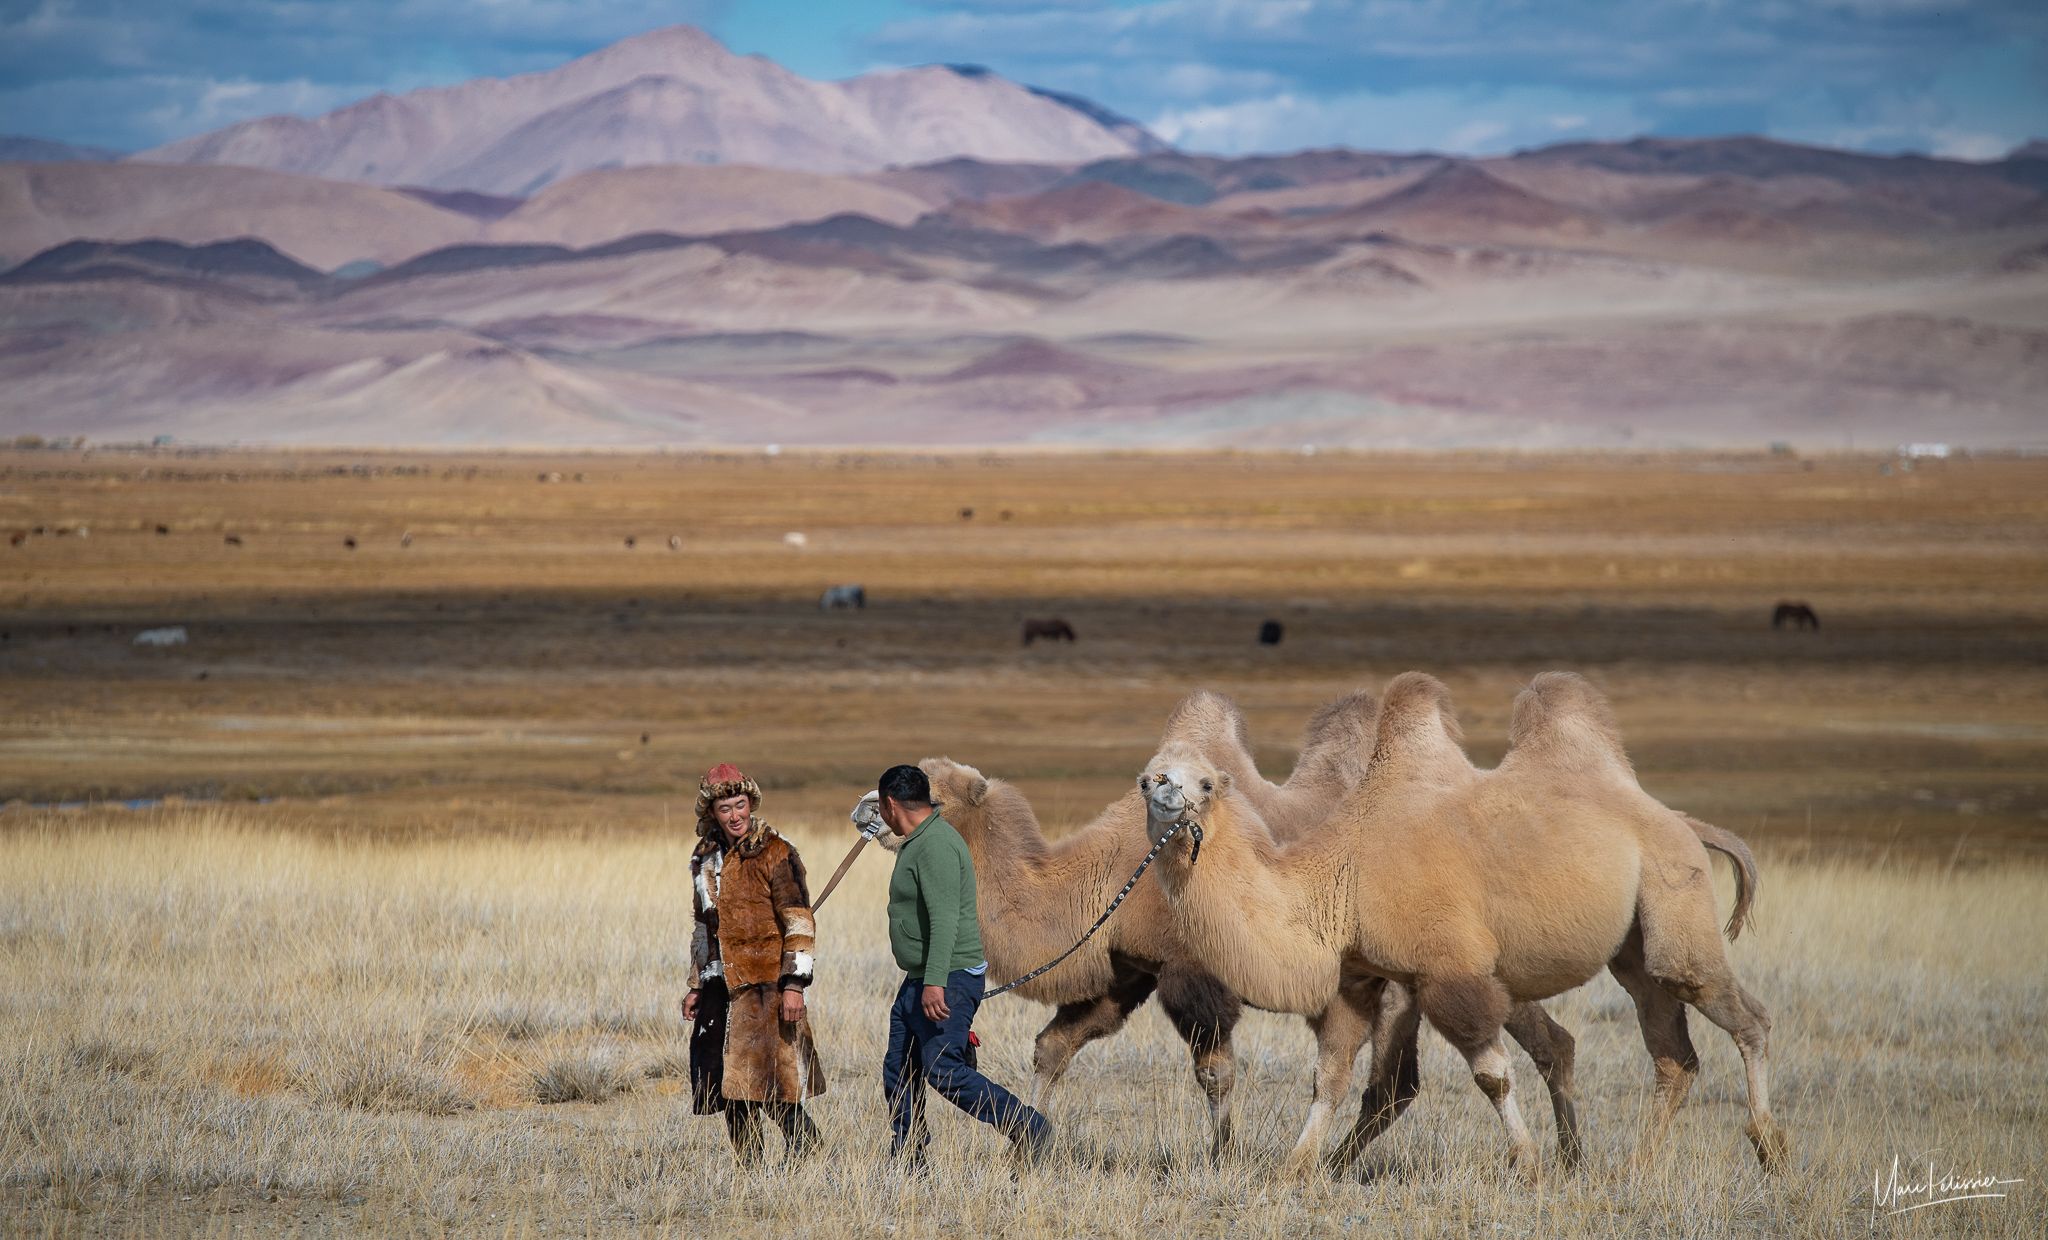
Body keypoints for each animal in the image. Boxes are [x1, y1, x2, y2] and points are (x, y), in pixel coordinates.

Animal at [1138, 670, 1784, 1180]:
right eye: (1146, 777)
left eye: (1205, 782)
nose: (1163, 786)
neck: (1342, 876)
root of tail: (1681, 821)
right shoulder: (1357, 977)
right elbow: (1330, 1075)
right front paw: (1296, 1168)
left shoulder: (1451, 971)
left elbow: (1492, 1076)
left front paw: (1527, 1164)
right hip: (1634, 944)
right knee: (1672, 1051)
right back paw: (1631, 1166)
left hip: (1676, 895)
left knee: (1737, 1011)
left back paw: (1769, 1146)